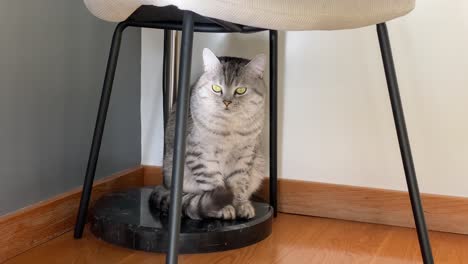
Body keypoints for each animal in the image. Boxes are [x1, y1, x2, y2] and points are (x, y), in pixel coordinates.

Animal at [150, 48, 266, 221]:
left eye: (241, 90)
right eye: (216, 88)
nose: (227, 102)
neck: (229, 128)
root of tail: (164, 186)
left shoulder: (245, 154)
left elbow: (239, 183)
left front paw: (241, 205)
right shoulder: (201, 153)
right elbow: (213, 183)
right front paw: (224, 207)